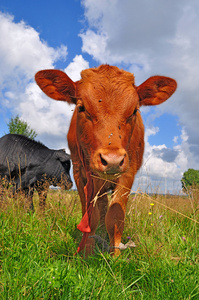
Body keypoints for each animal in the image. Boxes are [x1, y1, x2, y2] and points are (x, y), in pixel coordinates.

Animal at [35, 65, 176, 255]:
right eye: (81, 108)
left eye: (134, 110)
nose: (112, 160)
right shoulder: (79, 173)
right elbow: (90, 215)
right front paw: (86, 252)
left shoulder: (128, 172)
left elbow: (115, 217)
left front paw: (115, 254)